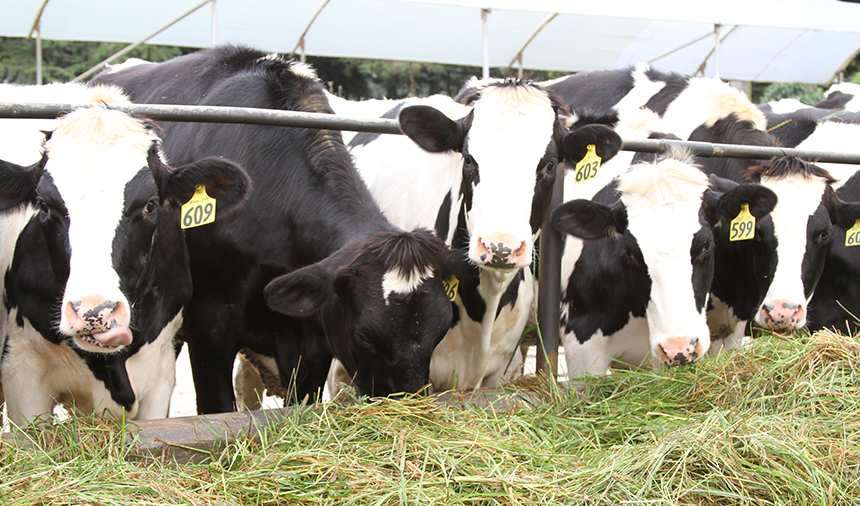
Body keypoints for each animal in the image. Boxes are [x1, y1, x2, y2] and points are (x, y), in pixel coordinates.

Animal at [92, 45, 456, 414]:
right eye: (365, 335)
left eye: (442, 328)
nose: (411, 404)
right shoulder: (208, 325)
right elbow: (218, 408)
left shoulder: (314, 339)